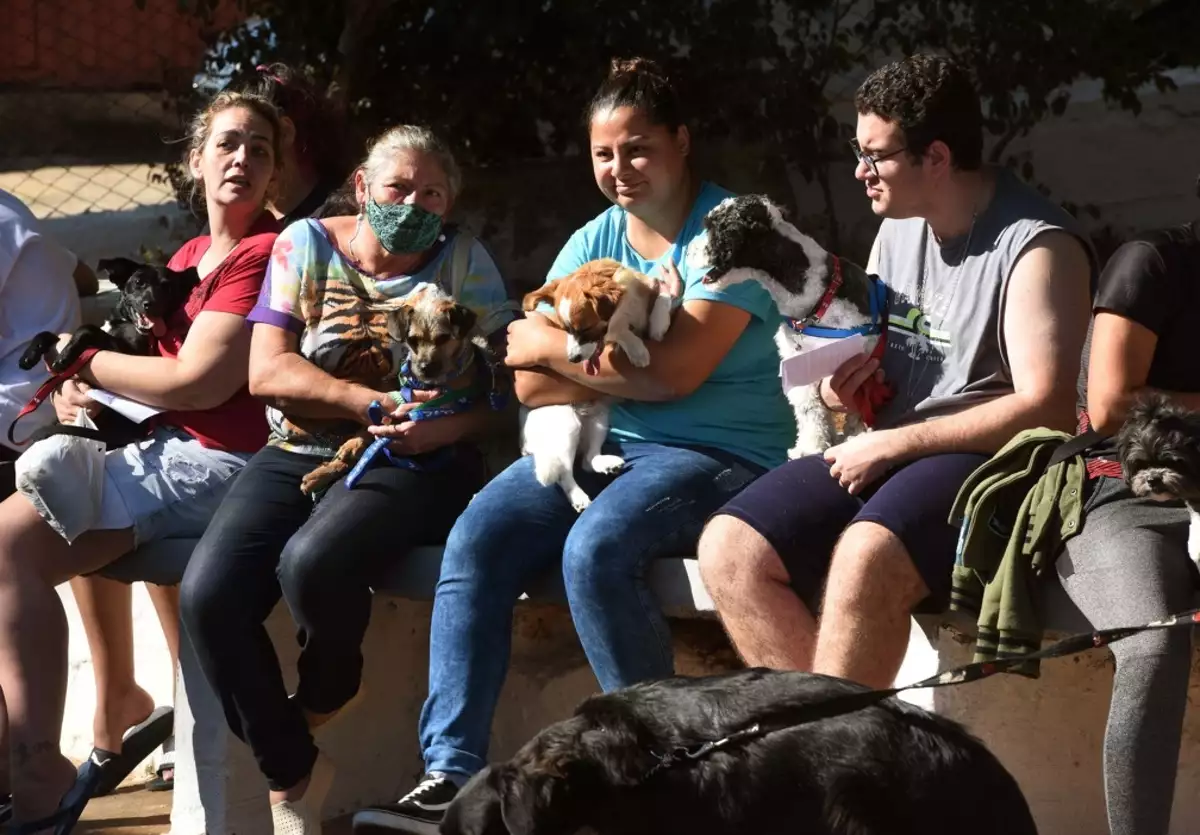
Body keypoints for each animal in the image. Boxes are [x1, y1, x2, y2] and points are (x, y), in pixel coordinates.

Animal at [18, 254, 199, 371]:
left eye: (168, 288)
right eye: (138, 282)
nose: (151, 304)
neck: (122, 321)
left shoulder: (132, 354)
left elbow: (87, 328)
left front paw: (65, 355)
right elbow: (45, 333)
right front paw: (29, 355)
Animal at [520, 257, 676, 511]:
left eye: (584, 328)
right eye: (564, 330)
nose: (572, 359)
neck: (626, 308)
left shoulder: (647, 290)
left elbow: (662, 297)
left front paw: (659, 323)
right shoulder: (615, 332)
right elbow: (619, 331)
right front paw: (636, 349)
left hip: (599, 420)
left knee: (587, 459)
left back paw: (606, 464)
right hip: (565, 425)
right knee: (564, 471)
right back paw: (578, 497)